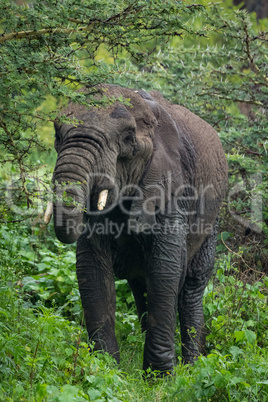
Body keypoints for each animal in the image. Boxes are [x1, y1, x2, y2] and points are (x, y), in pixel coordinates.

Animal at [47, 84, 227, 374]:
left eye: (128, 138)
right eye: (58, 135)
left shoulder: (172, 187)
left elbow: (165, 269)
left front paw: (159, 376)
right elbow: (92, 268)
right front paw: (105, 369)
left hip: (213, 219)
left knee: (191, 287)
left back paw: (192, 367)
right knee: (142, 285)